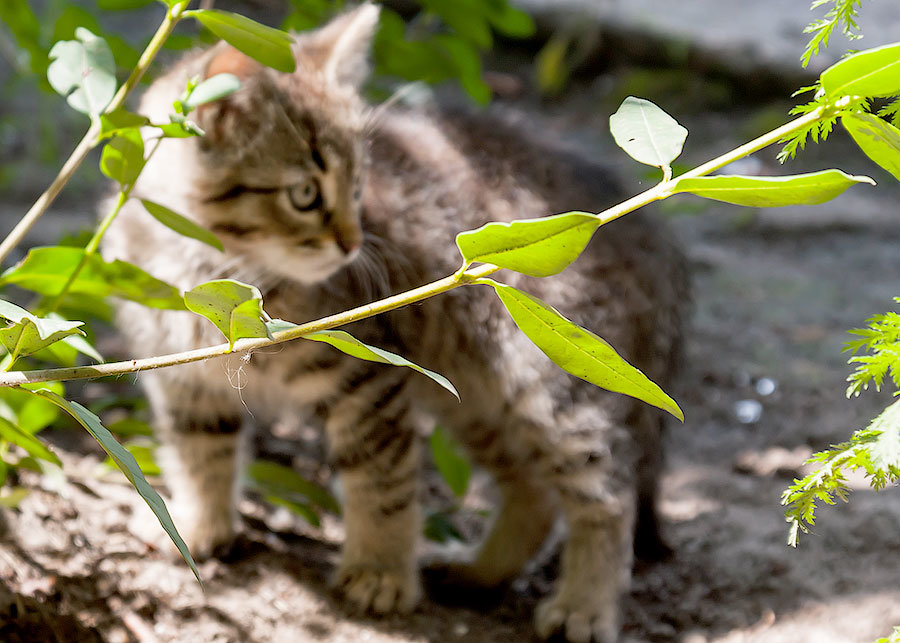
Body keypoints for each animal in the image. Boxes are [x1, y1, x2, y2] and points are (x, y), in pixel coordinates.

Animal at [100, 6, 688, 643]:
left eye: (358, 186)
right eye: (304, 194)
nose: (353, 243)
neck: (212, 268)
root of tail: (641, 228)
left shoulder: (366, 380)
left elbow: (379, 482)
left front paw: (379, 571)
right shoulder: (184, 382)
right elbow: (199, 454)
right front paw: (199, 527)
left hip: (551, 385)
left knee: (607, 493)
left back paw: (584, 603)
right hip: (478, 400)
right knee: (533, 492)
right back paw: (479, 575)